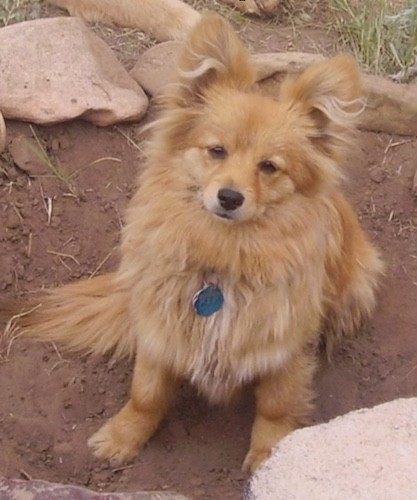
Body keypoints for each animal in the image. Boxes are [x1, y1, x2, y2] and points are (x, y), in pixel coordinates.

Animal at [3, 13, 382, 470]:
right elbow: (146, 394)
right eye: (216, 151)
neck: (222, 255)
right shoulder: (159, 328)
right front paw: (123, 437)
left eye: (269, 167)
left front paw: (268, 458)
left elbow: (275, 409)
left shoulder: (283, 350)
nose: (230, 197)